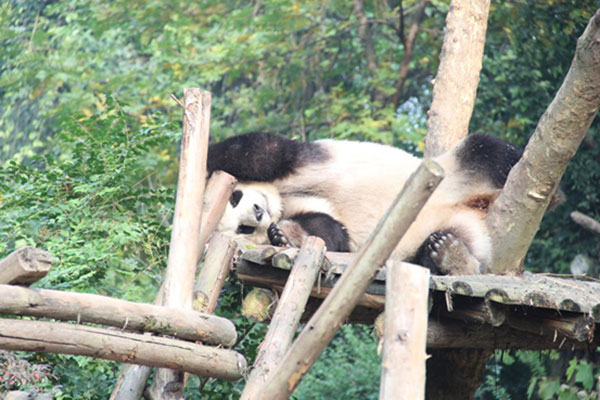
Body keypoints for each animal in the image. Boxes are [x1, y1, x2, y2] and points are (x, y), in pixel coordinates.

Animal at [210, 133, 556, 276]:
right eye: (243, 229)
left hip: (459, 172)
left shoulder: (299, 167)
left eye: (235, 196)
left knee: (489, 151)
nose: (259, 212)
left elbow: (262, 152)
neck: (282, 200)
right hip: (434, 236)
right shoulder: (304, 207)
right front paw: (284, 234)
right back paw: (453, 255)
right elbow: (333, 231)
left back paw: (553, 197)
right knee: (430, 254)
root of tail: (474, 208)